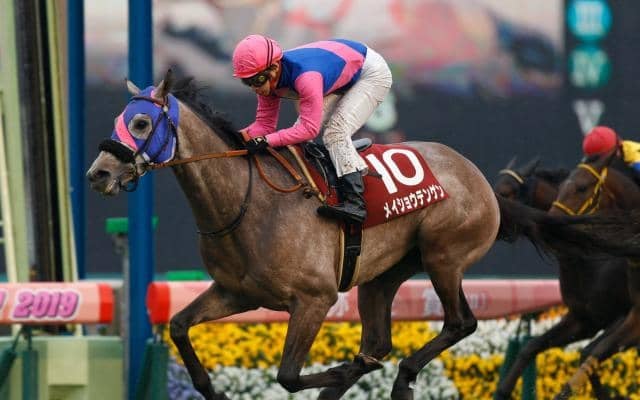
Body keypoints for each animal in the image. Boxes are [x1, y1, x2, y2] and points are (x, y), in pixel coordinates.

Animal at [493, 157, 632, 400]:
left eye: (506, 192)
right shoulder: (585, 319)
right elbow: (531, 347)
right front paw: (502, 391)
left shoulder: (617, 314)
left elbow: (591, 352)